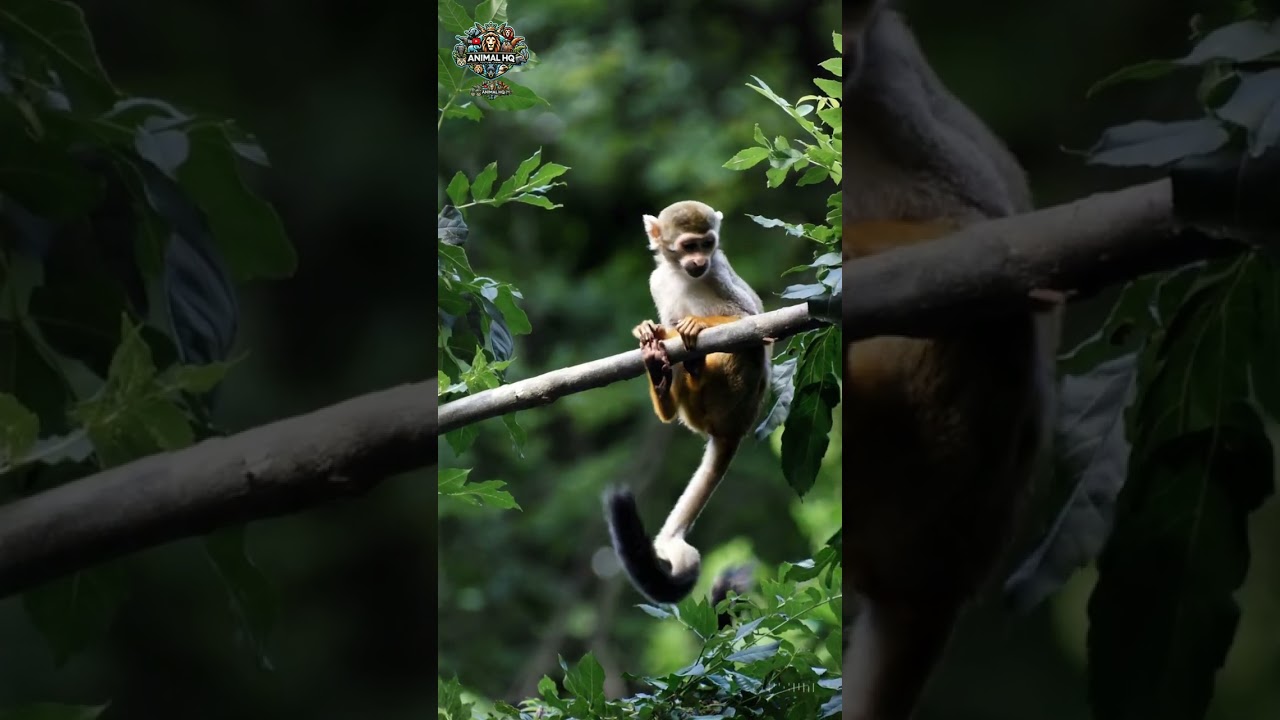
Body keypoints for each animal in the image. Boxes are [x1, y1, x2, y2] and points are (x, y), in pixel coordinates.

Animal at [603, 200, 771, 607]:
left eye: (707, 244)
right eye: (689, 246)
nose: (700, 261)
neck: (683, 276)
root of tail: (733, 430)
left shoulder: (721, 271)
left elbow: (752, 320)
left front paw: (697, 324)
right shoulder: (657, 280)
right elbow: (662, 323)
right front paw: (651, 335)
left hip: (743, 402)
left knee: (750, 349)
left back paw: (694, 365)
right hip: (696, 416)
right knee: (673, 359)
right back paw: (664, 383)